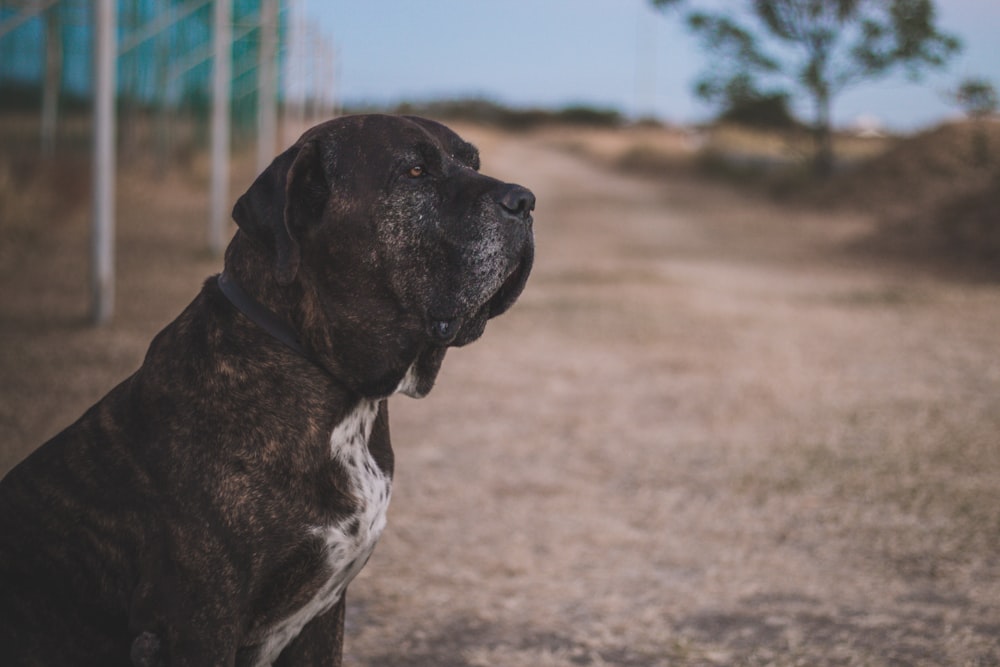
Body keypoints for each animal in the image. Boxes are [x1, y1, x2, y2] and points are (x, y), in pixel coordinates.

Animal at [0, 116, 536, 667]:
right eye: (414, 172)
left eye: (472, 161)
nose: (524, 201)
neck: (336, 387)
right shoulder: (196, 625)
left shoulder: (325, 613)